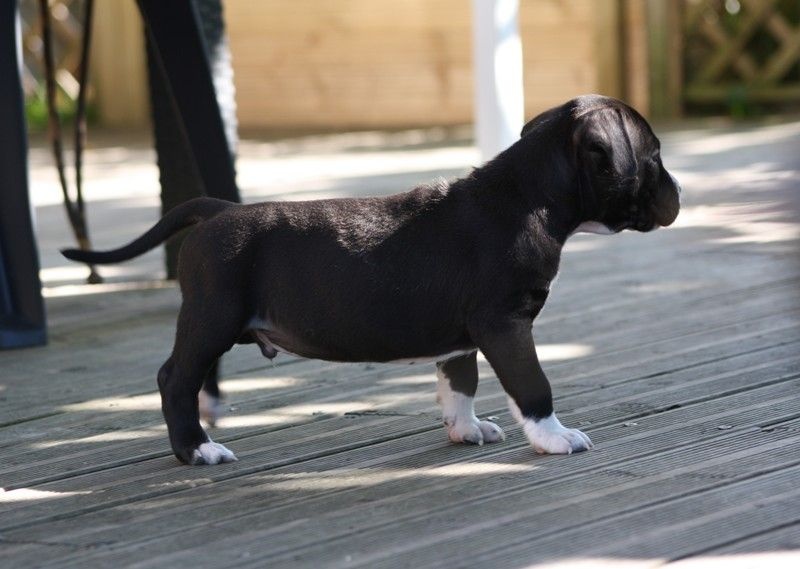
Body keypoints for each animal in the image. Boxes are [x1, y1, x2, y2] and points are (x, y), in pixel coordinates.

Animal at [63, 95, 681, 465]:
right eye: (654, 156)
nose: (677, 192)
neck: (527, 195)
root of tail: (217, 211)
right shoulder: (505, 324)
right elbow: (532, 385)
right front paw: (554, 436)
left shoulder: (465, 336)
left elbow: (459, 384)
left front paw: (464, 429)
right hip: (212, 316)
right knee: (174, 378)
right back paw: (197, 450)